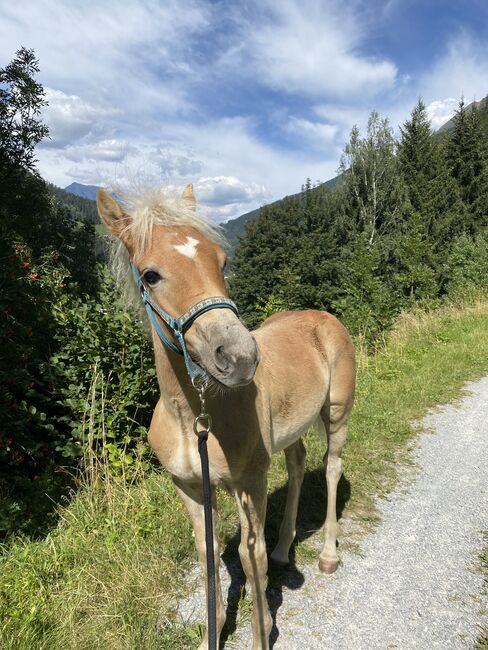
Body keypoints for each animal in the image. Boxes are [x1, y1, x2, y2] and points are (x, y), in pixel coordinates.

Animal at [96, 184, 354, 648]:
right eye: (150, 275)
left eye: (222, 261)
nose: (239, 357)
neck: (194, 417)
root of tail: (322, 316)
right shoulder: (190, 487)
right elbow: (208, 553)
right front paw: (211, 634)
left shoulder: (248, 482)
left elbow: (250, 560)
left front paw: (261, 632)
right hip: (291, 433)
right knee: (298, 463)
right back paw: (285, 548)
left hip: (337, 413)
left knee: (331, 468)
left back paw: (327, 554)